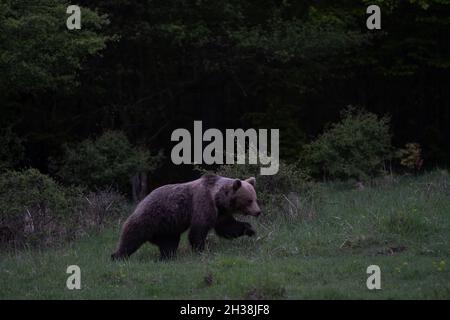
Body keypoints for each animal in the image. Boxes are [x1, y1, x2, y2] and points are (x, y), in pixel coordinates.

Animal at [111, 175, 260, 260]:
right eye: (249, 200)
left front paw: (250, 229)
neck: (217, 197)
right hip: (149, 217)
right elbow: (198, 230)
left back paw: (167, 257)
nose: (258, 212)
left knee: (168, 243)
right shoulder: (203, 203)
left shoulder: (220, 211)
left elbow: (227, 227)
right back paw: (117, 256)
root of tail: (141, 201)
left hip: (167, 228)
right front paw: (201, 250)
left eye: (255, 198)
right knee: (131, 236)